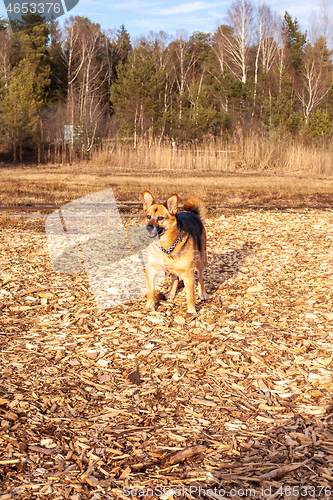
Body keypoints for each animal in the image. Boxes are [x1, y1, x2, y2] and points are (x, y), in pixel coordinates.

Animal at [142, 189, 206, 318]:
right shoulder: (151, 271)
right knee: (175, 279)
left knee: (201, 279)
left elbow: (190, 297)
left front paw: (192, 311)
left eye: (160, 218)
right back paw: (171, 294)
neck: (166, 247)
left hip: (200, 262)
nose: (148, 227)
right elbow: (150, 292)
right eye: (148, 216)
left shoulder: (188, 275)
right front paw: (149, 306)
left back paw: (202, 293)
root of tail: (194, 215)